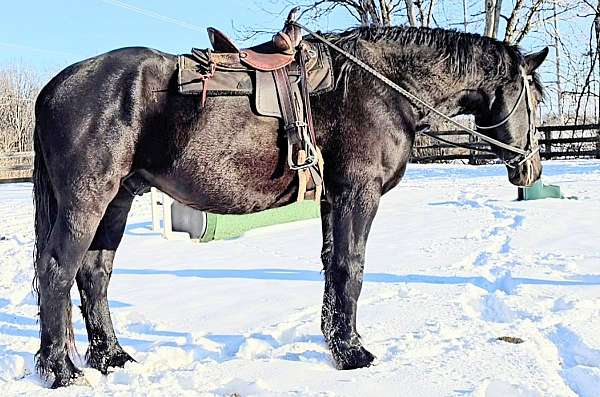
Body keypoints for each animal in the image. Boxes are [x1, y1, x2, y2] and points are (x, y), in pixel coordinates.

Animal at [32, 23, 548, 386]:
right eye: (536, 98)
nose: (531, 169)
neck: (380, 87)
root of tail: (55, 86)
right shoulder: (357, 193)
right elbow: (350, 266)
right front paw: (353, 353)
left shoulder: (333, 198)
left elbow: (331, 264)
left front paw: (336, 343)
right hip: (87, 200)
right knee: (57, 270)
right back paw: (62, 370)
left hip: (117, 201)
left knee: (94, 272)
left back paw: (111, 357)